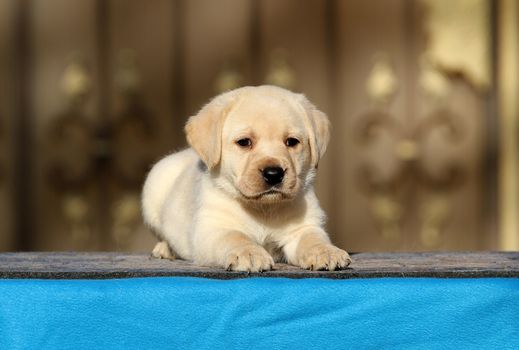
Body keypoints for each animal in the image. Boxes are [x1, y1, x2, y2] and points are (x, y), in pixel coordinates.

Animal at [142, 86, 352, 272]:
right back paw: (165, 249)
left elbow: (313, 239)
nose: (274, 174)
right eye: (244, 142)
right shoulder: (212, 228)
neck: (263, 209)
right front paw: (248, 254)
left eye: (292, 141)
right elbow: (235, 237)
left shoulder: (303, 227)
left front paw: (326, 251)